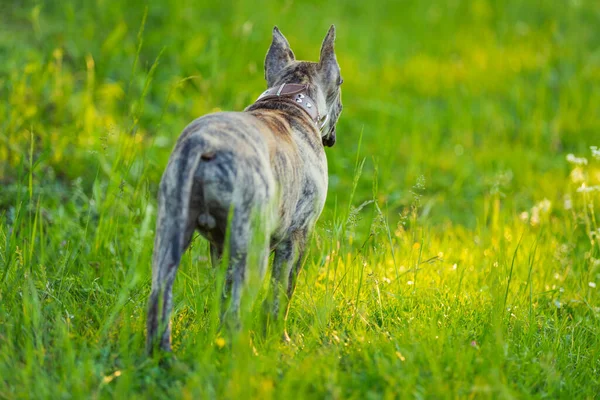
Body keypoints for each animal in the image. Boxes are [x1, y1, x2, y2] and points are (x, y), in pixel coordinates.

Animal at [146, 25, 342, 352]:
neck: (290, 101)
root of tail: (204, 145)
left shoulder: (219, 249)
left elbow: (224, 296)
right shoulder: (298, 238)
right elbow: (281, 294)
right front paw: (280, 339)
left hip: (170, 237)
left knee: (159, 299)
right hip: (253, 253)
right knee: (240, 313)